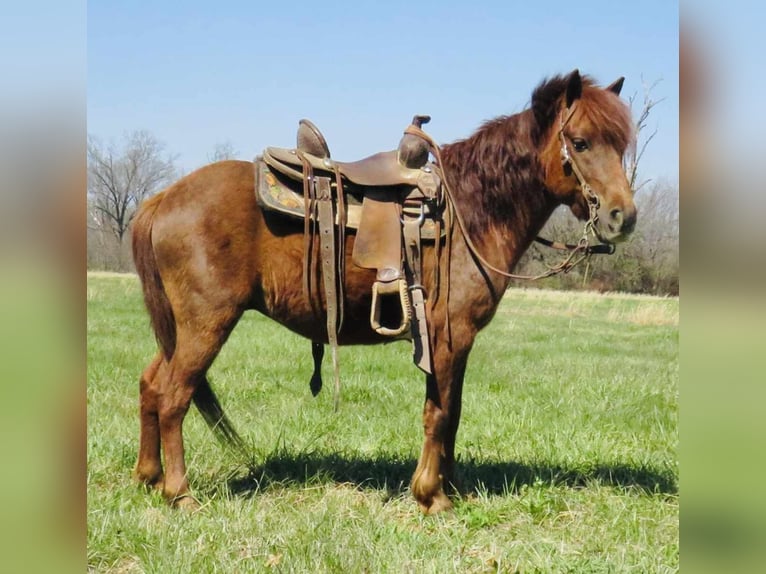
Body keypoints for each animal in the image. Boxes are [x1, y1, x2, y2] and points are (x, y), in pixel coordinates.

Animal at [130, 70, 636, 516]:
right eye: (581, 142)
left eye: (622, 144)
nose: (623, 217)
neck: (470, 211)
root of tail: (163, 199)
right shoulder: (448, 336)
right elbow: (438, 413)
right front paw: (431, 496)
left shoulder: (458, 342)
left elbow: (453, 411)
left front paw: (452, 486)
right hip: (206, 324)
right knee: (174, 396)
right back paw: (180, 493)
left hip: (178, 330)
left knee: (151, 384)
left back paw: (148, 477)